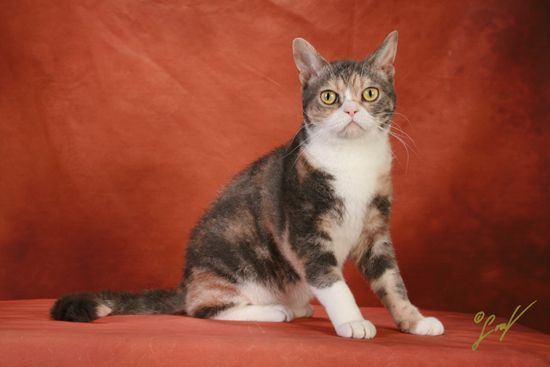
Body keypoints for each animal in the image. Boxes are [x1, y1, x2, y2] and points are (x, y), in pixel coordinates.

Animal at [51, 30, 446, 340]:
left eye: (370, 94)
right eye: (329, 97)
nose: (350, 110)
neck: (353, 161)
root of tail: (187, 282)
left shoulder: (375, 229)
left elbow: (392, 280)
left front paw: (415, 320)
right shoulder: (305, 229)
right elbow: (332, 280)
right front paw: (352, 321)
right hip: (233, 260)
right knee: (202, 309)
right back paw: (274, 310)